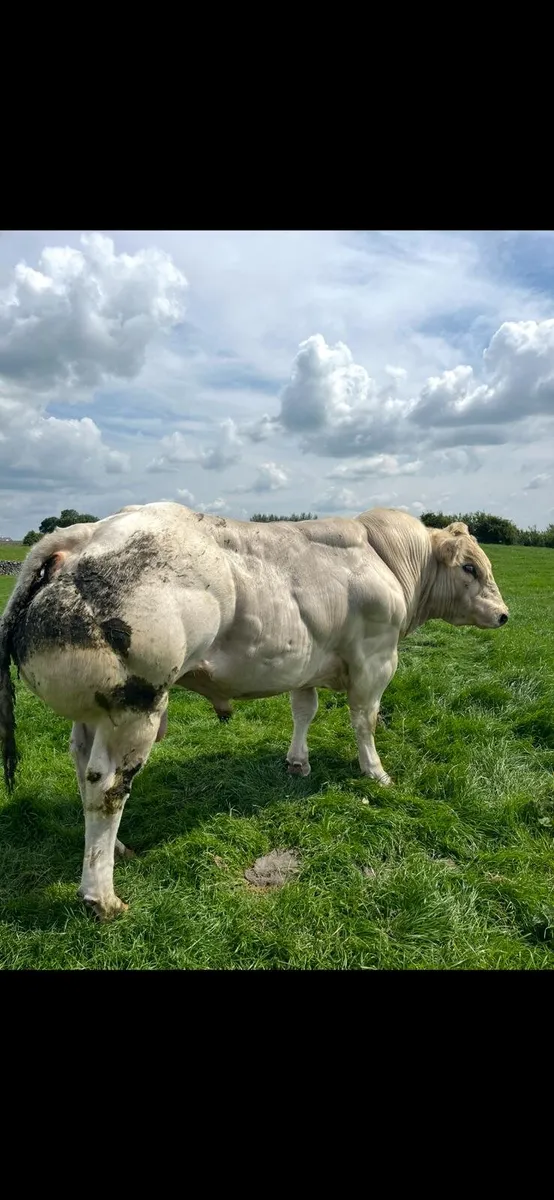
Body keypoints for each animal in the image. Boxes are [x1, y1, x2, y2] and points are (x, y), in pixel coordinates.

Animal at [0, 503, 508, 920]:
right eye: (469, 567)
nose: (504, 615)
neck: (387, 559)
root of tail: (87, 532)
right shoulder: (375, 659)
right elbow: (364, 720)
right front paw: (375, 773)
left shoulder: (307, 663)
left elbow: (305, 710)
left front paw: (298, 763)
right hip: (135, 709)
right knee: (107, 789)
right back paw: (101, 897)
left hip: (92, 714)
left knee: (83, 772)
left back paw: (116, 850)